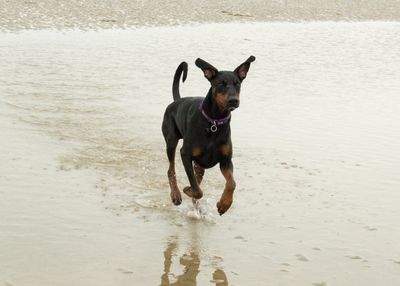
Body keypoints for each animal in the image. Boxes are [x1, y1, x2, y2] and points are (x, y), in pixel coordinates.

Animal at [161, 55, 255, 216]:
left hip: (199, 166)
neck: (214, 122)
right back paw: (176, 195)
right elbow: (197, 190)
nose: (233, 100)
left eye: (237, 84)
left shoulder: (225, 160)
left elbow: (232, 183)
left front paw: (224, 204)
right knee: (170, 170)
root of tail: (177, 101)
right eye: (221, 84)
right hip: (171, 140)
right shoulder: (185, 154)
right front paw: (187, 190)